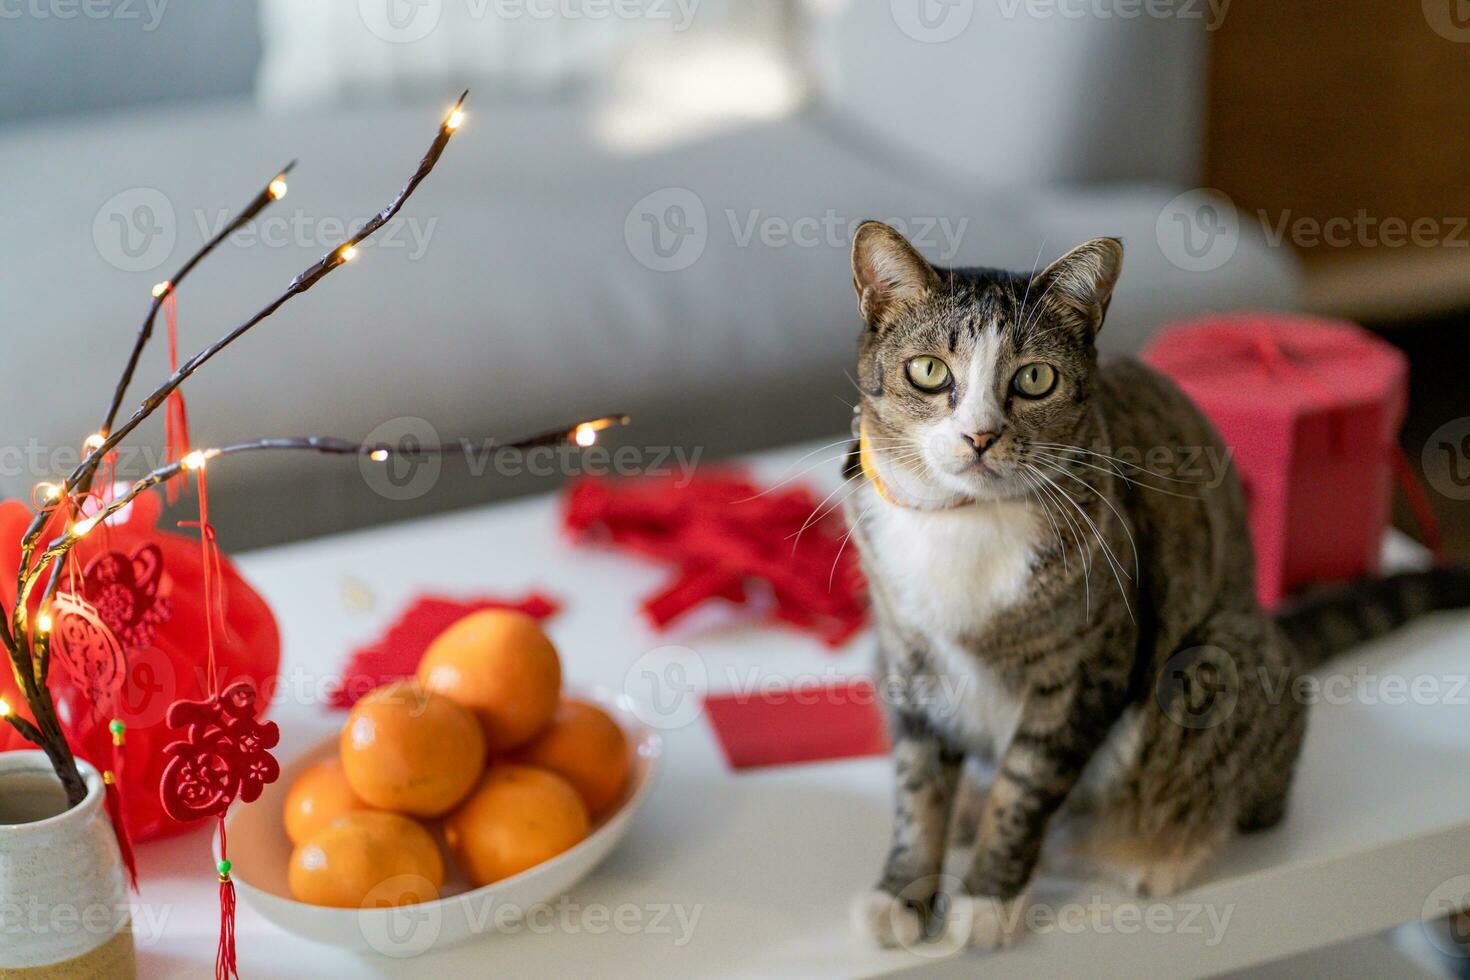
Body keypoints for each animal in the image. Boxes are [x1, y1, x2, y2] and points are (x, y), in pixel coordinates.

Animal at [840, 221, 1470, 952]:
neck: (967, 518)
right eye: (929, 371)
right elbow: (918, 787)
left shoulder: (1086, 668)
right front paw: (904, 892)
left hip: (1215, 660)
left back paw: (1151, 852)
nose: (980, 436)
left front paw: (989, 897)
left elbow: (1025, 787)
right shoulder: (907, 657)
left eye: (1034, 379)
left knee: (1241, 795)